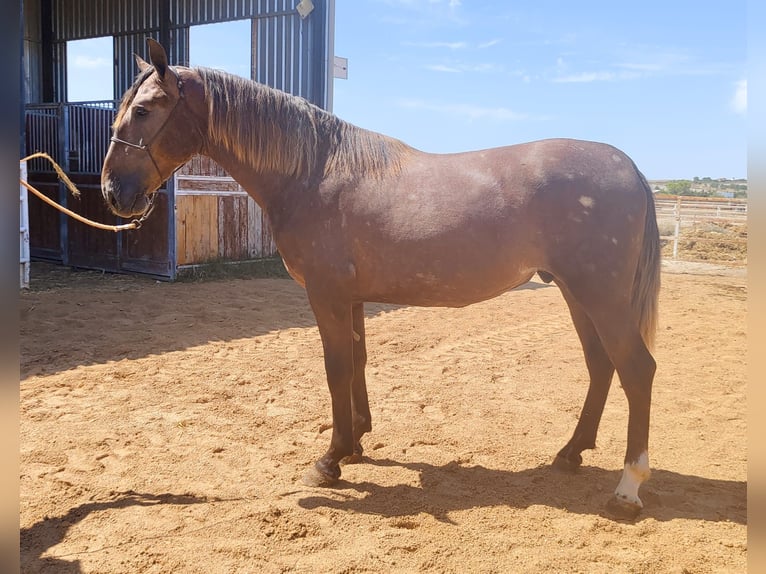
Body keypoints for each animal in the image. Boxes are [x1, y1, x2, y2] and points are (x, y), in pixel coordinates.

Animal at [102, 38, 664, 520]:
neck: (314, 172)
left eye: (144, 110)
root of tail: (631, 169)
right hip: (576, 293)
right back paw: (570, 454)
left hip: (602, 297)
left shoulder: (326, 295)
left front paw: (329, 461)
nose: (112, 191)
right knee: (601, 367)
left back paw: (628, 488)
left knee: (636, 370)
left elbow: (336, 369)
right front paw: (355, 443)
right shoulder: (350, 298)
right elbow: (358, 363)